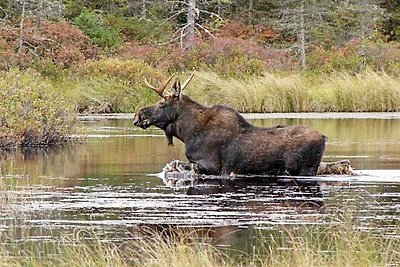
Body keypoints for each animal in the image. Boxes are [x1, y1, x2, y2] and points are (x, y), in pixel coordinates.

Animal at [133, 74, 326, 177]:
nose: (138, 115)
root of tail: (324, 138)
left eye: (161, 104)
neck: (188, 134)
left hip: (304, 169)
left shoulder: (211, 166)